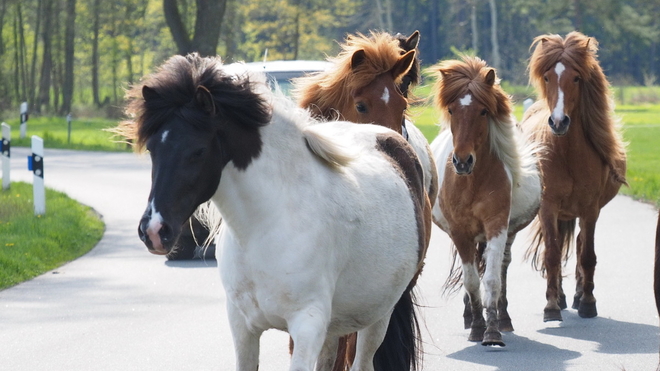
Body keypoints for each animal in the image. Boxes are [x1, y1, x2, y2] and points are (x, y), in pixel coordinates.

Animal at [428, 56, 540, 348]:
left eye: (482, 112)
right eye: (452, 110)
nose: (462, 161)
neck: (473, 181)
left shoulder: (497, 226)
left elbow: (490, 279)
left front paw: (492, 331)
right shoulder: (459, 232)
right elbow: (471, 281)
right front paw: (477, 326)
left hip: (506, 234)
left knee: (501, 268)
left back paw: (503, 318)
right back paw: (470, 315)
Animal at [520, 31, 628, 322]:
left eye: (577, 78)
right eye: (547, 77)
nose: (558, 122)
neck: (566, 154)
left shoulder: (590, 209)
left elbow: (587, 254)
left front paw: (588, 303)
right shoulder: (548, 208)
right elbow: (552, 255)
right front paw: (551, 306)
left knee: (579, 246)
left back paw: (579, 296)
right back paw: (560, 296)